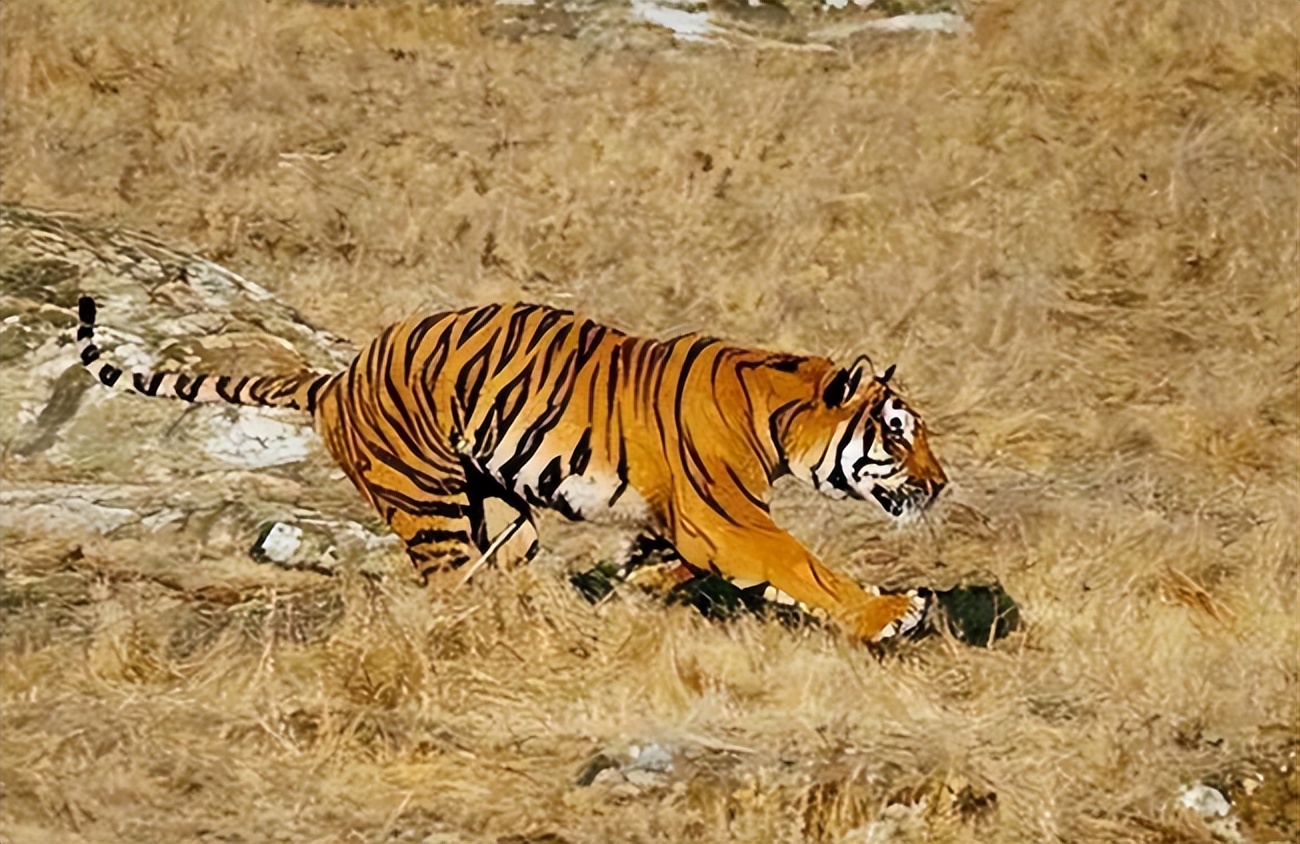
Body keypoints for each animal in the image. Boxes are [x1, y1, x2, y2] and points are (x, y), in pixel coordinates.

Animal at [78, 295, 946, 639]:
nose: (941, 484)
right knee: (451, 588)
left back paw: (554, 620)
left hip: (494, 506)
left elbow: (671, 564)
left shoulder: (687, 524)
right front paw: (892, 612)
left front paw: (633, 594)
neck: (777, 413)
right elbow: (806, 566)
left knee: (504, 573)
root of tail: (337, 378)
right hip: (428, 500)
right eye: (899, 433)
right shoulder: (726, 520)